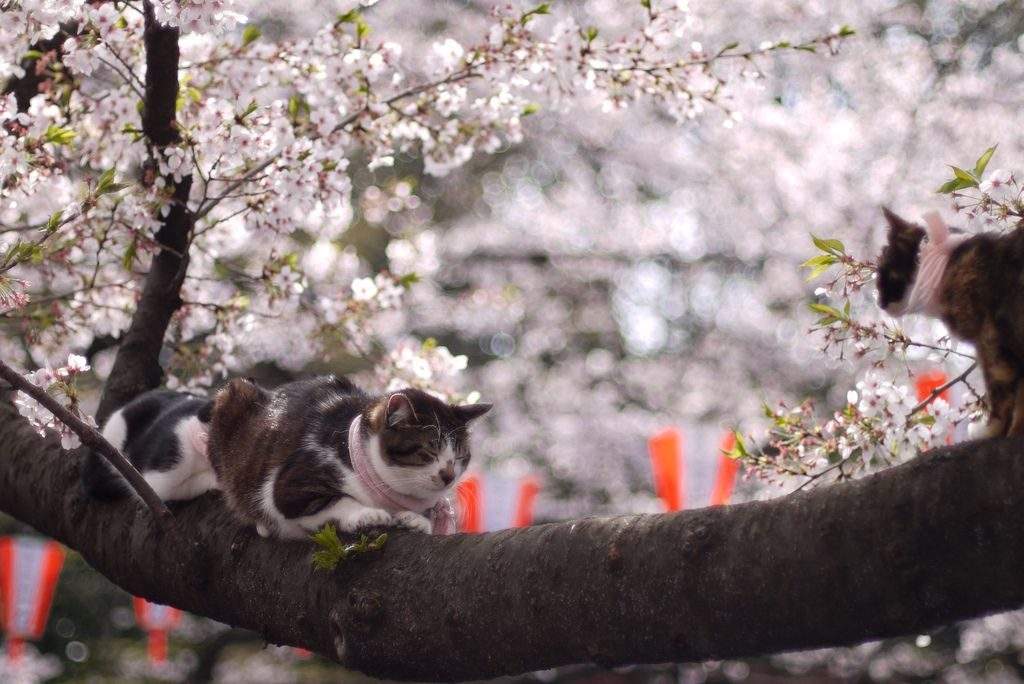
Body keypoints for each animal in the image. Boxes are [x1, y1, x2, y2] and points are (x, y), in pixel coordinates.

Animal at [81, 376, 489, 536]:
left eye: (461, 455)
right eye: (428, 449)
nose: (448, 474)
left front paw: (416, 519)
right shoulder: (292, 484)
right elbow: (333, 502)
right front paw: (366, 513)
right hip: (176, 465)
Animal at [876, 205, 1024, 436]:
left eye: (884, 274)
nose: (880, 303)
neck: (947, 265)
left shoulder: (990, 339)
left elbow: (1002, 394)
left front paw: (992, 431)